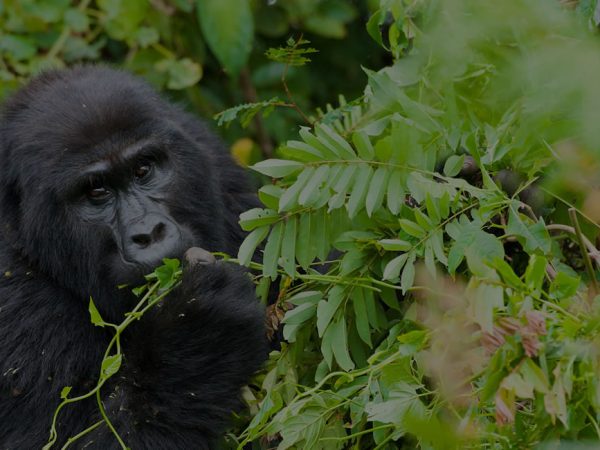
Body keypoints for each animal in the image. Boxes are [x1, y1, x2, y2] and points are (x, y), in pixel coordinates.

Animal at [0, 65, 268, 448]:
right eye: (96, 191)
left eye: (143, 169)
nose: (149, 233)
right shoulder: (12, 297)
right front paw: (200, 334)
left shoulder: (214, 167)